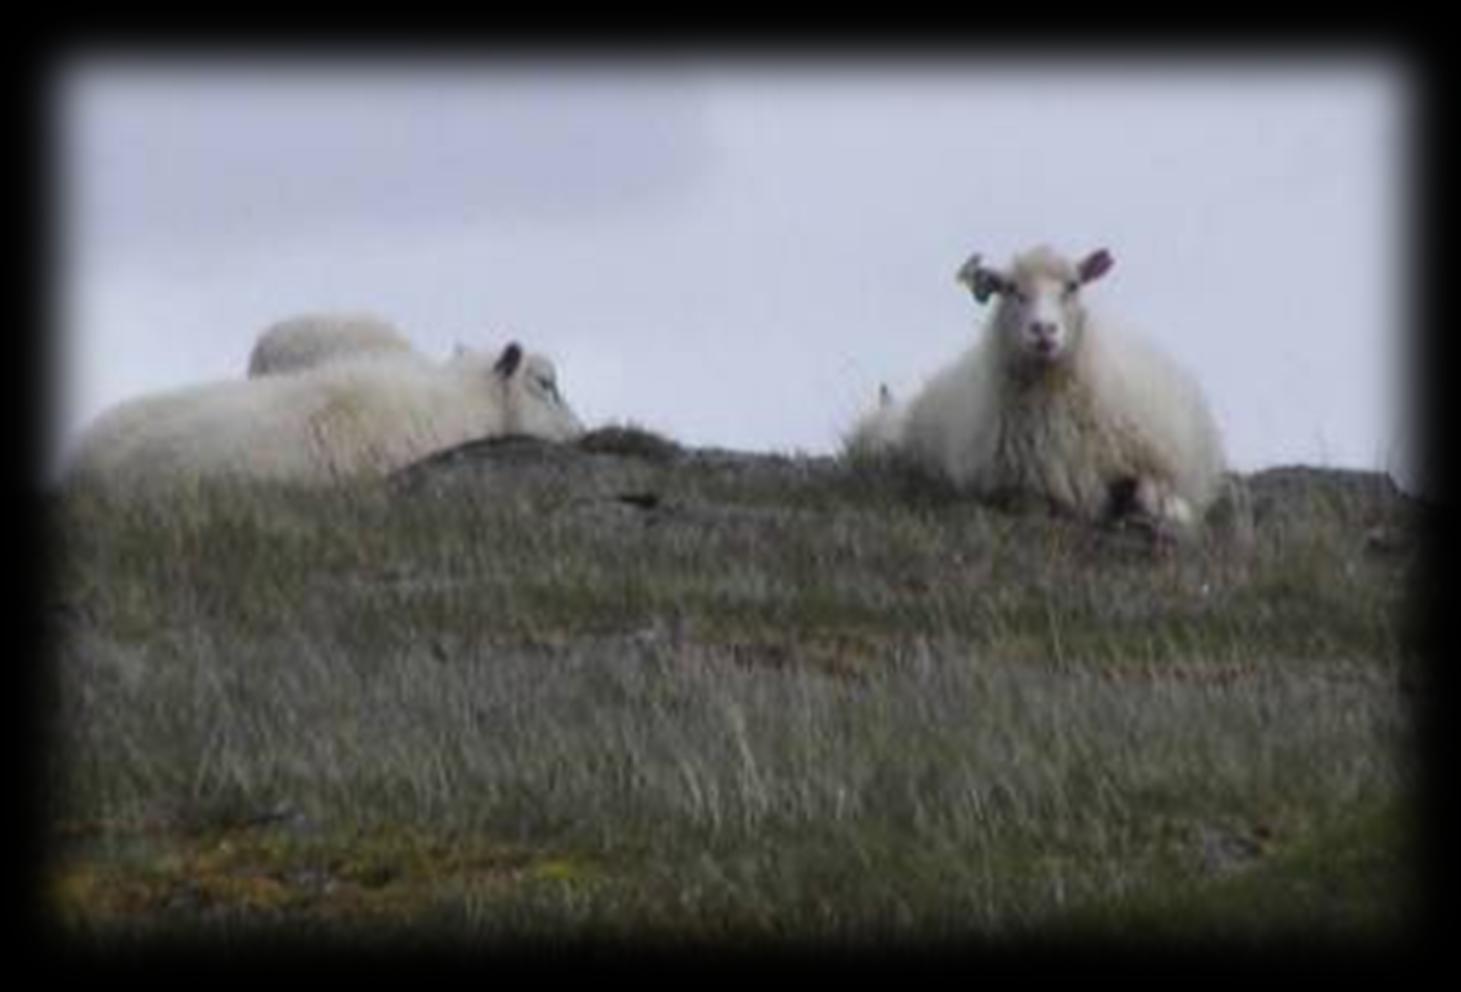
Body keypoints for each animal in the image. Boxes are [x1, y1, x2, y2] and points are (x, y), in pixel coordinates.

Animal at [847, 245, 1233, 531]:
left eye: (1072, 286)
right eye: (1011, 289)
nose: (1044, 330)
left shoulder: (1152, 461)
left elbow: (1155, 493)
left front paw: (1165, 513)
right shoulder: (1022, 490)